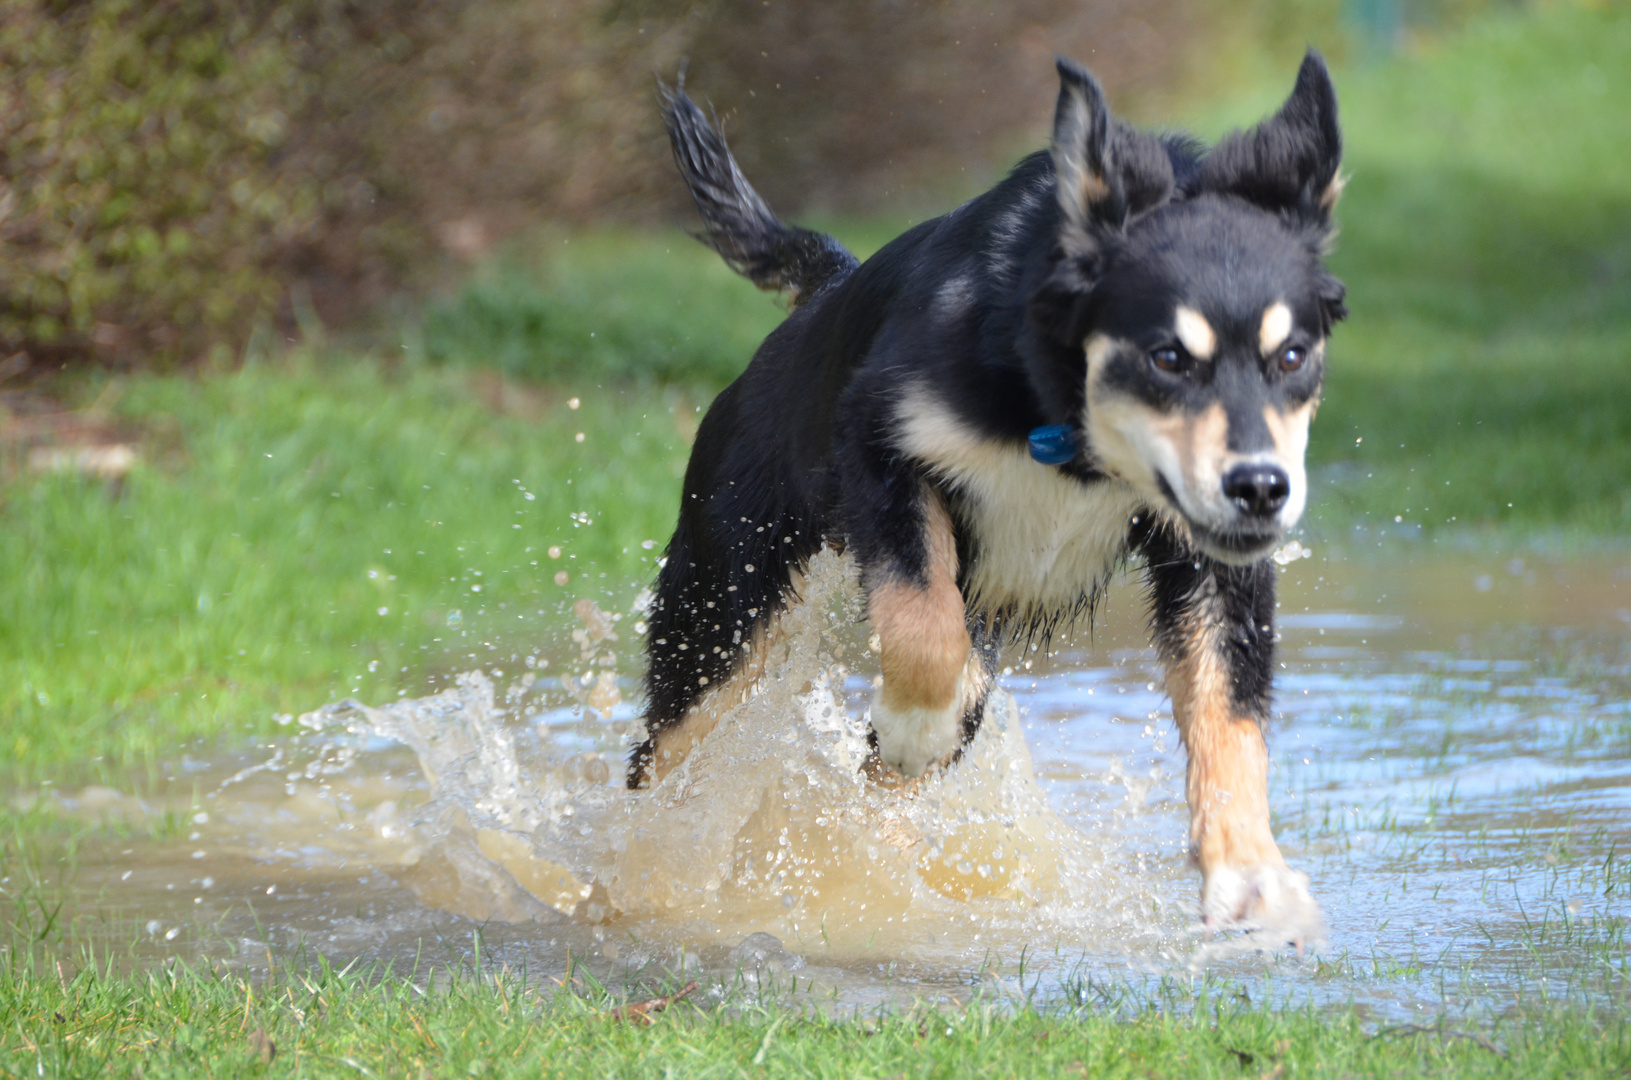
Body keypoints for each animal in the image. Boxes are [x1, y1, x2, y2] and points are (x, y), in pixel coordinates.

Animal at [629, 53, 1343, 933]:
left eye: (1292, 356)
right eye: (1167, 357)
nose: (1260, 489)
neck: (1063, 423)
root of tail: (829, 288)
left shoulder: (1208, 556)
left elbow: (1228, 707)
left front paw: (1248, 872)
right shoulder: (881, 448)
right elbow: (921, 633)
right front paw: (910, 727)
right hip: (719, 616)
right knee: (663, 756)